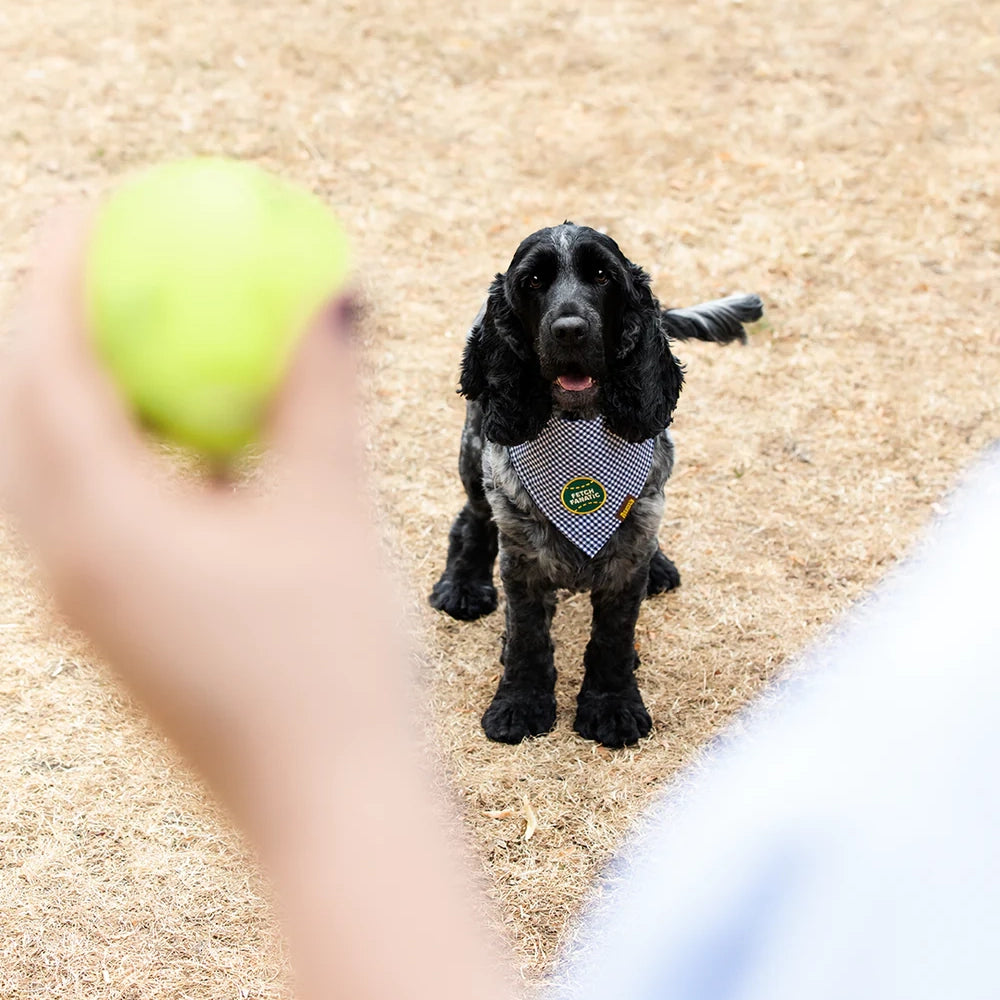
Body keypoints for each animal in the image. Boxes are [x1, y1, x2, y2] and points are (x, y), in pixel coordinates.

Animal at [426, 225, 760, 744]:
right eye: (533, 281)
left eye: (603, 276)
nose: (570, 330)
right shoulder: (522, 559)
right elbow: (528, 638)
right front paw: (519, 706)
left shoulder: (627, 560)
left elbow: (613, 638)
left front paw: (613, 707)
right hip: (475, 449)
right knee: (471, 519)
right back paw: (462, 585)